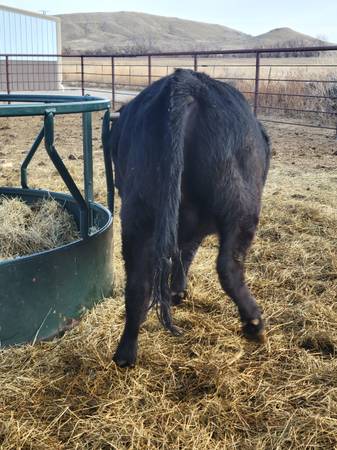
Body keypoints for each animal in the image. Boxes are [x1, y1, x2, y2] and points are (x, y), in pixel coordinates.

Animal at [108, 68, 270, 368]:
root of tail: (186, 82)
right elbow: (189, 253)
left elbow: (182, 253)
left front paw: (177, 292)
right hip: (241, 207)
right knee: (229, 266)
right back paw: (254, 324)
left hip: (138, 212)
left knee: (137, 281)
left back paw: (125, 353)